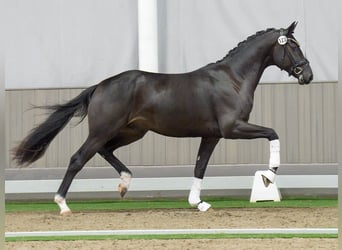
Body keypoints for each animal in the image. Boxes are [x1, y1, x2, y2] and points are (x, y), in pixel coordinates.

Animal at [13, 22, 312, 214]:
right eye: (293, 47)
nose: (307, 75)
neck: (233, 79)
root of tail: (100, 86)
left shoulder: (212, 135)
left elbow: (200, 167)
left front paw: (198, 203)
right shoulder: (232, 128)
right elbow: (273, 133)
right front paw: (268, 177)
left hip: (132, 132)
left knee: (106, 151)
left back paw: (124, 184)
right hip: (103, 130)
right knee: (78, 158)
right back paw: (63, 204)